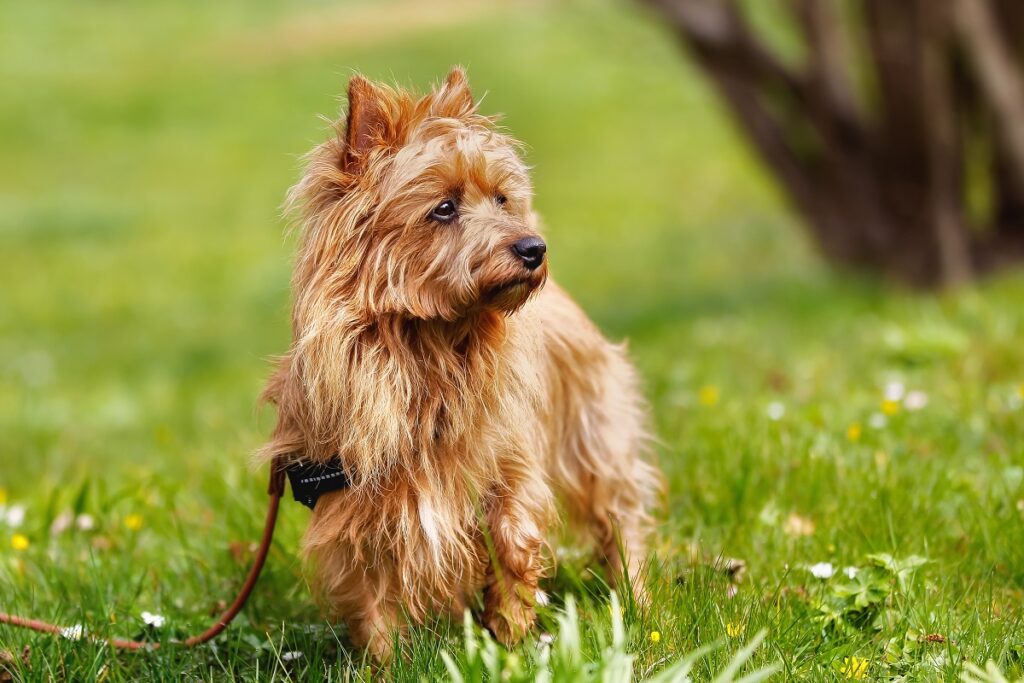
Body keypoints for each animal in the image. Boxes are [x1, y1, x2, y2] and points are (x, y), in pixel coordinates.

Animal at [260, 69, 659, 663]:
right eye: (443, 208)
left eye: (501, 197)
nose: (534, 247)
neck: (430, 346)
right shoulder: (353, 502)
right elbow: (371, 594)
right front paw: (387, 664)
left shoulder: (509, 465)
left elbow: (514, 545)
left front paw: (511, 641)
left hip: (594, 433)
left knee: (620, 517)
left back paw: (637, 602)